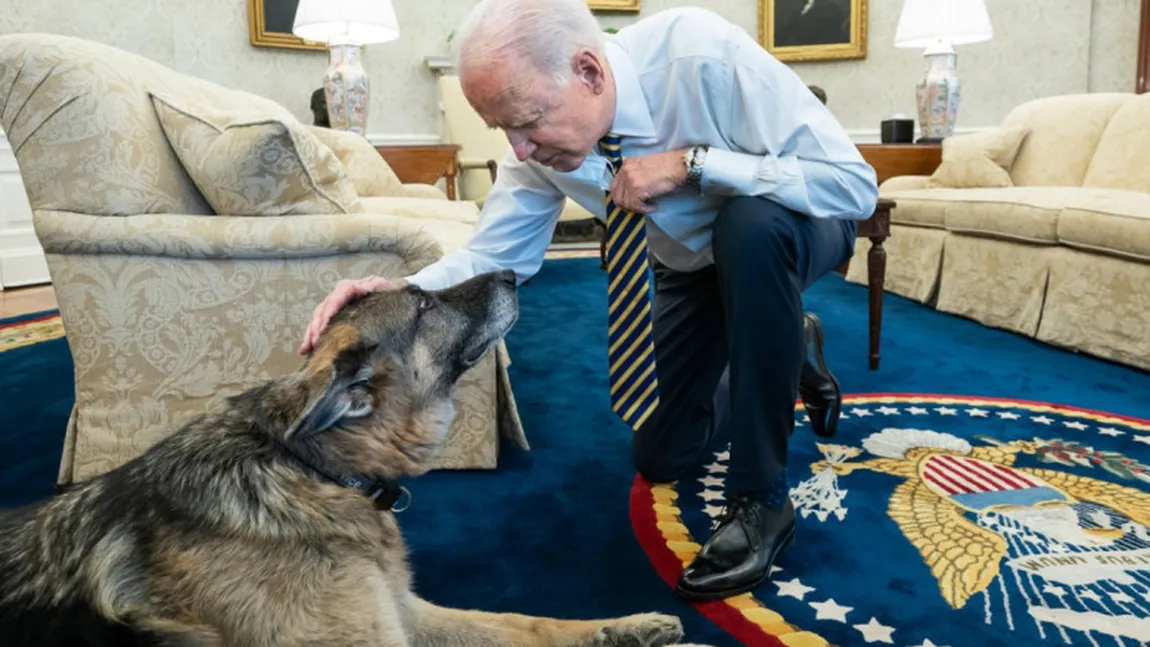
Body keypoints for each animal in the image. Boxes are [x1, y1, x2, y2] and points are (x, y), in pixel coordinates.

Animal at [0, 271, 699, 647]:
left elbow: (522, 623)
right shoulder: (374, 633)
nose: (509, 274)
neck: (311, 469)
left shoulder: (406, 612)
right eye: (423, 304)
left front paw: (622, 627)